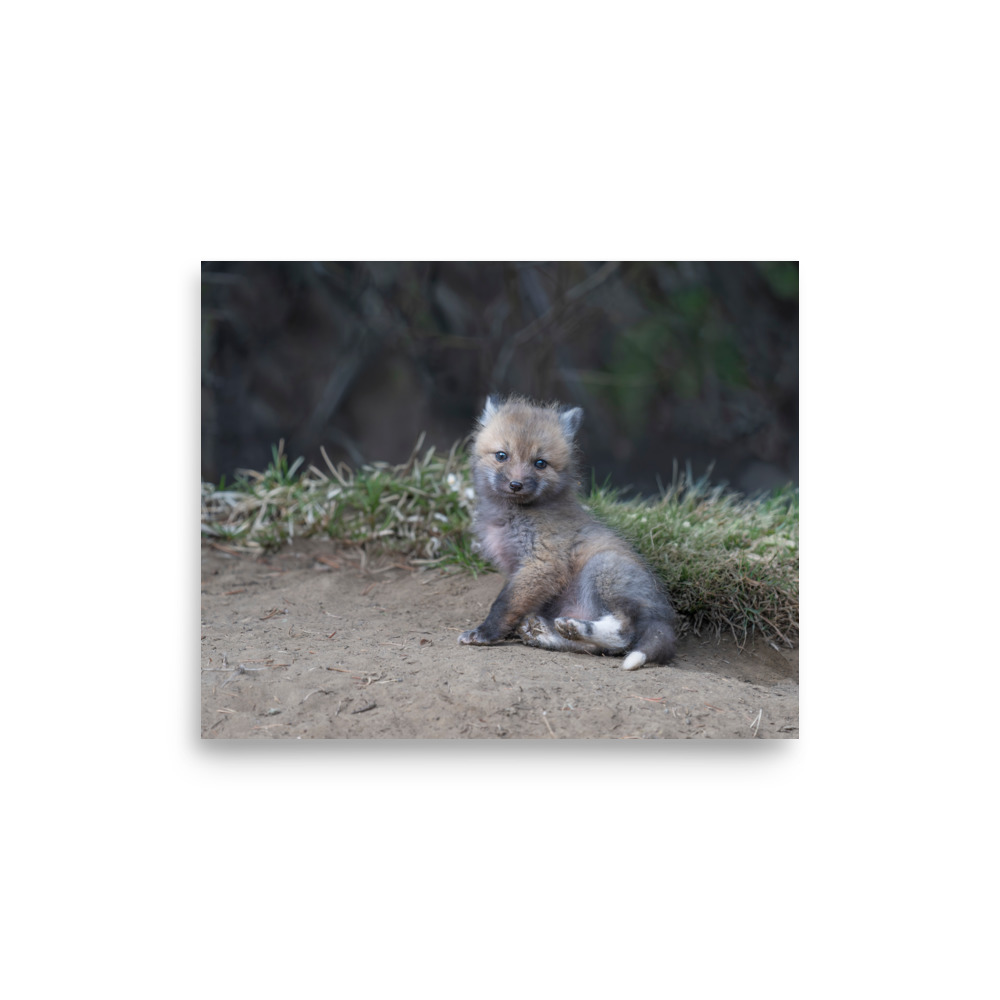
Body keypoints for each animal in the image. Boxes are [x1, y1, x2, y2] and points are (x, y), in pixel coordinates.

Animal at [457, 395, 677, 670]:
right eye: (501, 455)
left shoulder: (543, 562)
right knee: (598, 648)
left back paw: (575, 628)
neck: (512, 516)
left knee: (623, 634)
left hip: (602, 568)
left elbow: (504, 604)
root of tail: (665, 616)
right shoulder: (519, 568)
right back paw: (548, 633)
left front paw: (485, 633)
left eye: (540, 463)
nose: (516, 485)